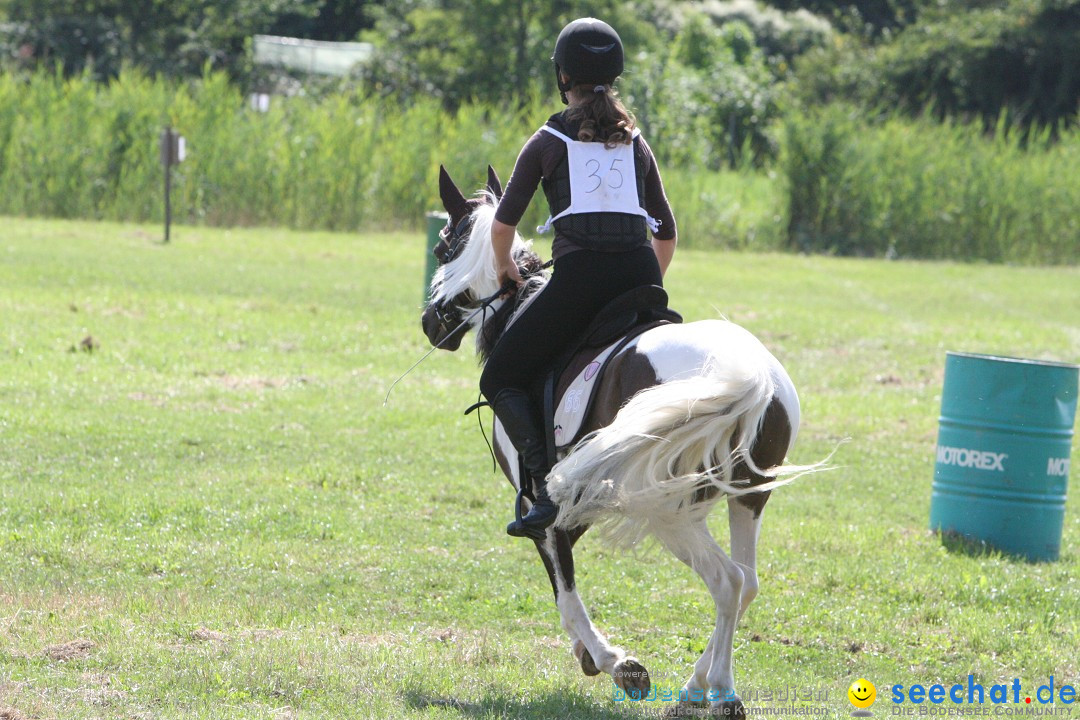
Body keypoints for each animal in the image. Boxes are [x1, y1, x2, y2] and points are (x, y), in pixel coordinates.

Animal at [416, 167, 812, 716]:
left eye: (441, 248)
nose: (430, 322)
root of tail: (750, 376)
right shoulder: (574, 501)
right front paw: (592, 656)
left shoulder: (542, 509)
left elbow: (564, 593)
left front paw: (615, 663)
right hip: (746, 498)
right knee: (746, 581)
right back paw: (695, 687)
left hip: (669, 510)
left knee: (727, 580)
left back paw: (719, 691)